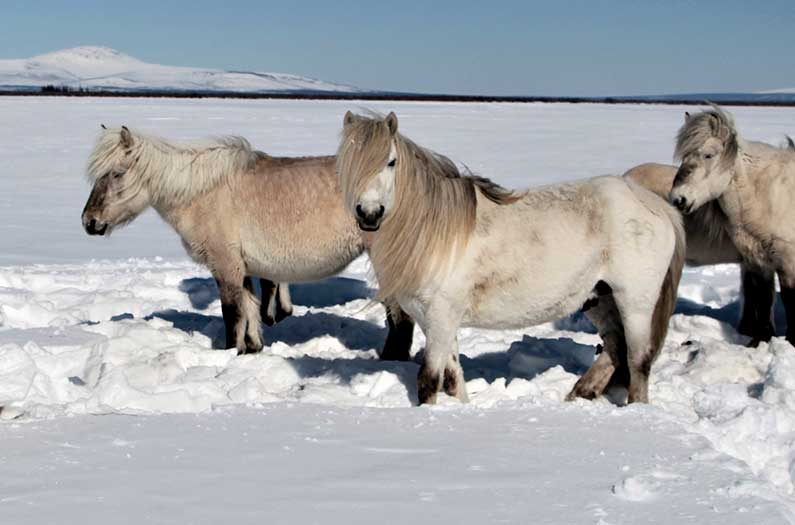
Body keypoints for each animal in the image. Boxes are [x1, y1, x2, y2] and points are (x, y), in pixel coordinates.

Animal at [81, 125, 416, 358]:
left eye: (117, 173)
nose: (89, 222)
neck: (202, 192)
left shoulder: (225, 265)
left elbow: (232, 313)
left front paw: (230, 352)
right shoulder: (243, 267)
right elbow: (250, 308)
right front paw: (251, 348)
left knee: (400, 320)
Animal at [336, 112, 684, 404]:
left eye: (391, 162)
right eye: (345, 163)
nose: (369, 214)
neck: (434, 232)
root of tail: (654, 203)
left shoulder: (440, 316)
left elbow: (429, 380)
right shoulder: (435, 320)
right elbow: (453, 377)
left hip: (635, 302)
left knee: (638, 359)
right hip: (599, 298)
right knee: (615, 348)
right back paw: (580, 393)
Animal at [672, 106, 795, 344]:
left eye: (708, 155)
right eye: (684, 156)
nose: (678, 199)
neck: (767, 194)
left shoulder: (787, 261)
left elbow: (789, 298)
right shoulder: (757, 260)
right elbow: (763, 300)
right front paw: (760, 341)